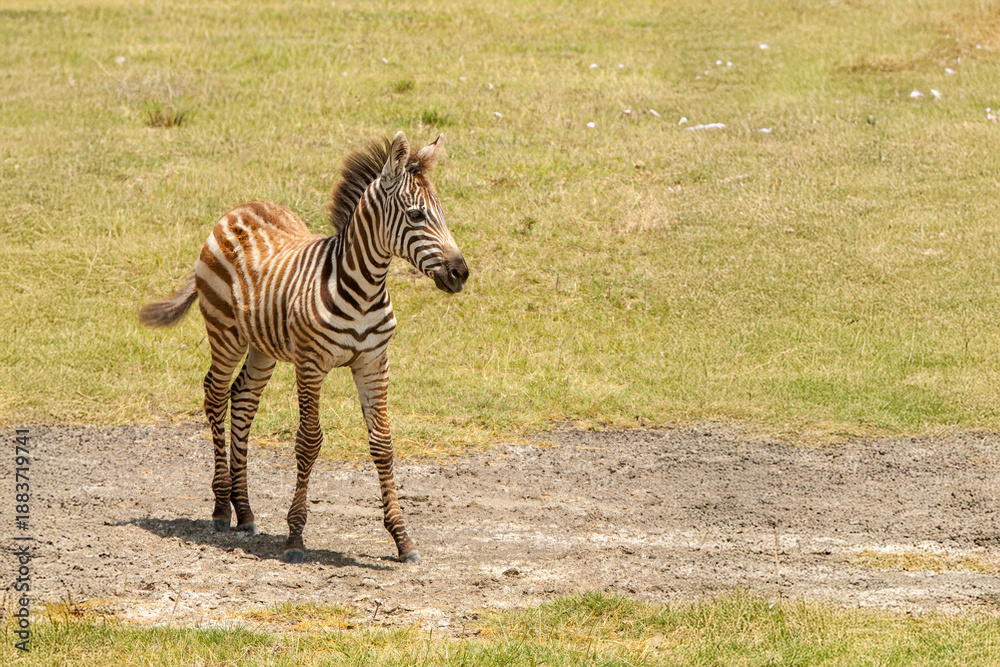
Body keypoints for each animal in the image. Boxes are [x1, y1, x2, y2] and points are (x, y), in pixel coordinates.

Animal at [139, 131, 468, 564]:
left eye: (442, 213)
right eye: (416, 216)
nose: (461, 273)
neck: (364, 288)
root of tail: (240, 208)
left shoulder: (373, 362)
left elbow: (383, 444)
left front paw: (403, 539)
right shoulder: (311, 364)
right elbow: (309, 442)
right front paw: (295, 535)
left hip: (262, 346)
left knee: (243, 398)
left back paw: (245, 511)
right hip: (225, 332)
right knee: (215, 394)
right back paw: (222, 507)